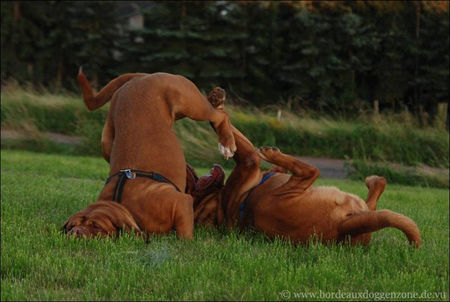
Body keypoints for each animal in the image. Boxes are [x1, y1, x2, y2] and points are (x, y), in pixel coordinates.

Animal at [66, 70, 239, 238]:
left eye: (96, 226)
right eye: (71, 225)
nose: (75, 232)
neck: (122, 203)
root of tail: (141, 77)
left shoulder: (181, 202)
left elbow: (184, 234)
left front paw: (187, 243)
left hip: (190, 103)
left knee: (219, 116)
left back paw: (226, 143)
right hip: (108, 141)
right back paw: (216, 98)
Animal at [191, 88, 422, 247]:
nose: (194, 170)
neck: (221, 205)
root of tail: (342, 229)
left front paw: (216, 101)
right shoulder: (250, 161)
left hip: (359, 208)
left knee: (373, 199)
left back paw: (374, 181)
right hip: (284, 194)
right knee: (311, 171)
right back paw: (272, 153)